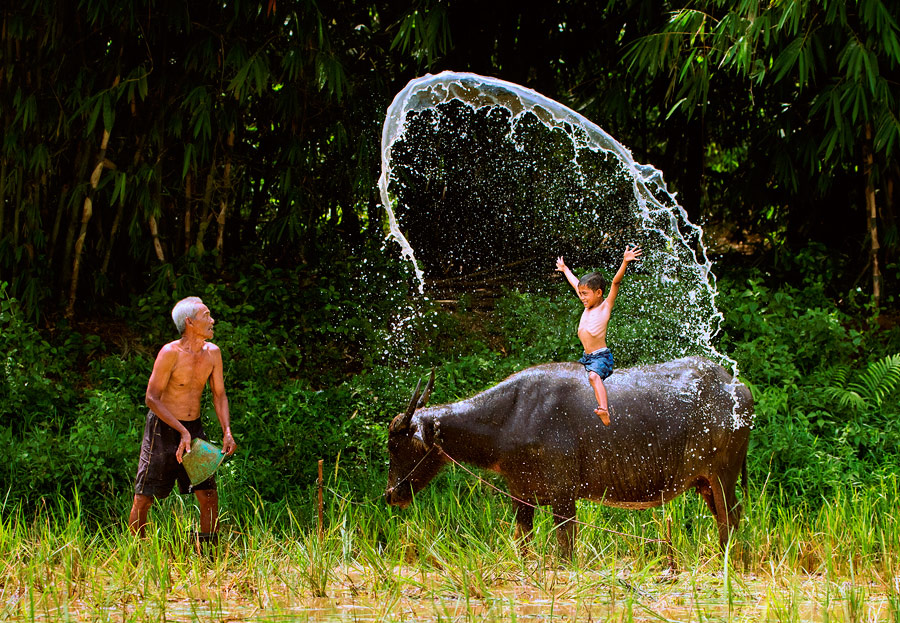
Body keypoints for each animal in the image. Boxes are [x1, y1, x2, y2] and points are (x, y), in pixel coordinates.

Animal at [384, 356, 752, 556]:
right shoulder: (522, 496)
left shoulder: (564, 496)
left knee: (731, 518)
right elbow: (524, 542)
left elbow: (565, 549)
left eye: (396, 445)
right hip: (704, 483)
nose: (391, 495)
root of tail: (737, 387)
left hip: (723, 477)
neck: (512, 415)